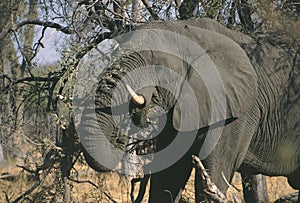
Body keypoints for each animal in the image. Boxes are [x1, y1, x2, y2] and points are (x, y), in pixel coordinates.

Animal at [74, 18, 298, 202]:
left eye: (158, 66)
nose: (120, 136)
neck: (191, 32)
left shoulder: (237, 111)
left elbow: (213, 174)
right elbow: (167, 178)